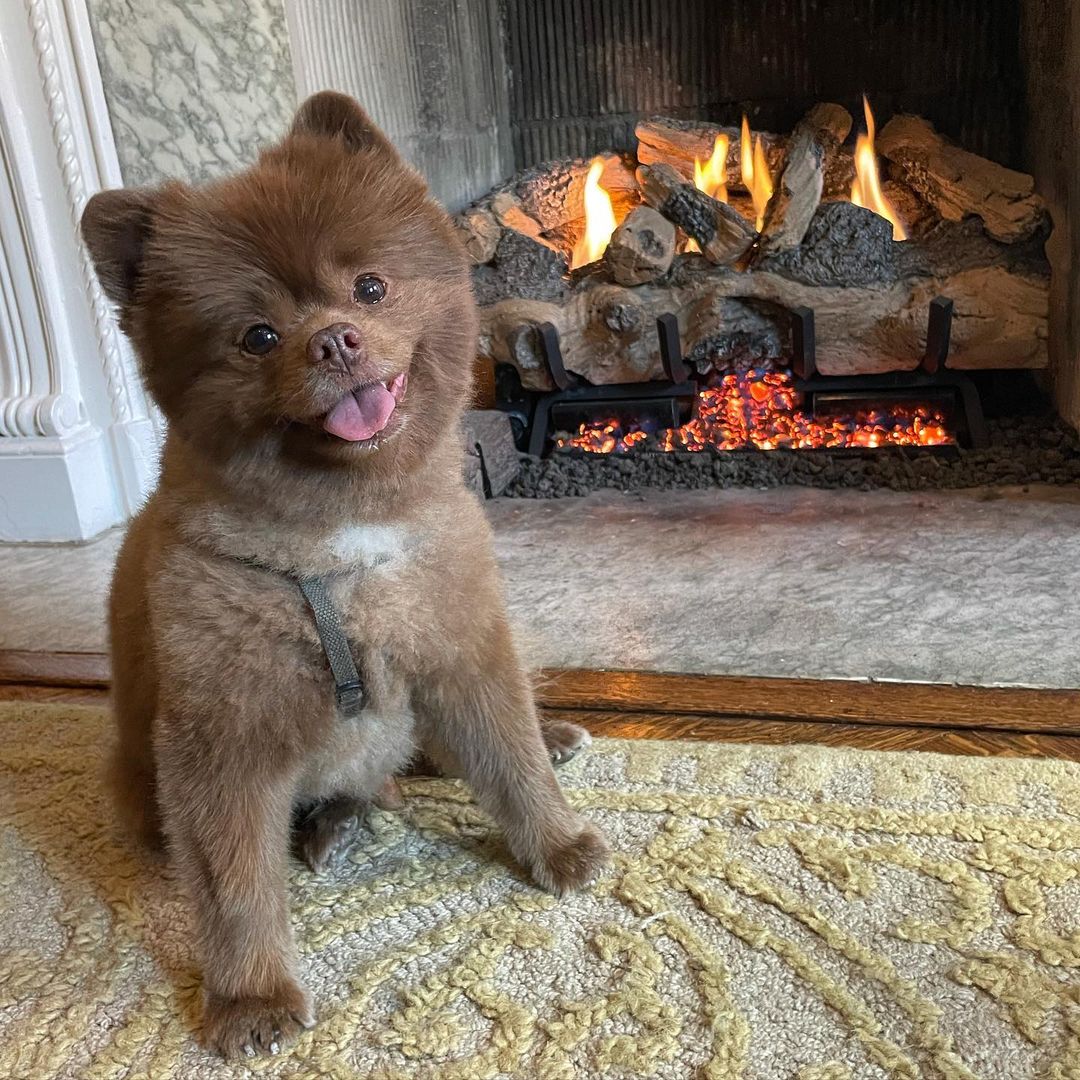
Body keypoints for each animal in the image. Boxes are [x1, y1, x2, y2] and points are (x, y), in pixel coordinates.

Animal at [78, 90, 609, 1054]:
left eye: (370, 286)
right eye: (257, 336)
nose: (334, 341)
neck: (341, 544)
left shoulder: (463, 650)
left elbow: (511, 763)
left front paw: (556, 845)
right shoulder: (222, 736)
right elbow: (236, 886)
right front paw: (249, 998)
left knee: (454, 746)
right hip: (141, 788)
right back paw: (336, 821)